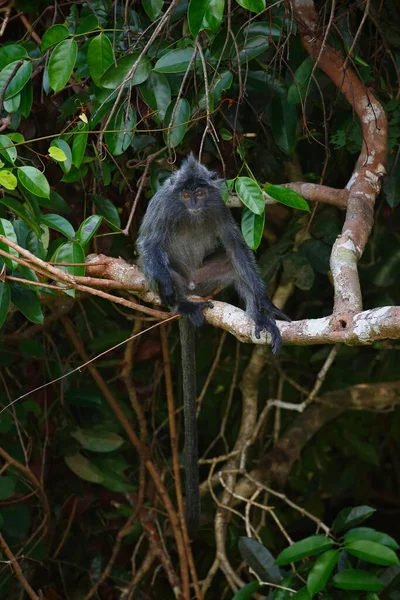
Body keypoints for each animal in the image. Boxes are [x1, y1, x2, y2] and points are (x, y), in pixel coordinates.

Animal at [137, 155, 288, 528]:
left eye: (201, 193)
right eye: (185, 194)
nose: (194, 202)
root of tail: (193, 285)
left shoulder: (218, 206)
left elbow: (237, 247)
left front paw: (264, 307)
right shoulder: (165, 205)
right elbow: (150, 243)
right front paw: (167, 292)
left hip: (206, 279)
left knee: (234, 264)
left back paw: (261, 314)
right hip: (180, 280)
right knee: (161, 269)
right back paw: (182, 305)